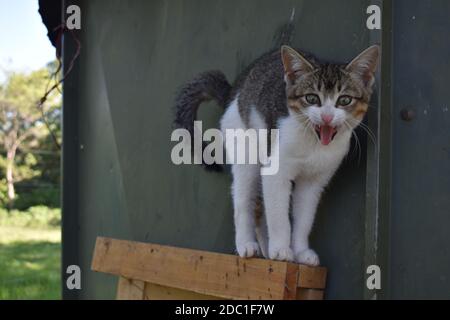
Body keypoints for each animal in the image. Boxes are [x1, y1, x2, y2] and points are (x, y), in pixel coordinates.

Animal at [174, 45, 378, 264]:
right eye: (312, 98)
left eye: (345, 100)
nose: (326, 116)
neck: (313, 144)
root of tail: (233, 90)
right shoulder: (276, 172)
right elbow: (279, 216)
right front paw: (281, 249)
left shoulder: (313, 183)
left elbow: (303, 218)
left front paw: (300, 251)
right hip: (246, 153)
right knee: (243, 200)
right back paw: (247, 244)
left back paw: (266, 248)